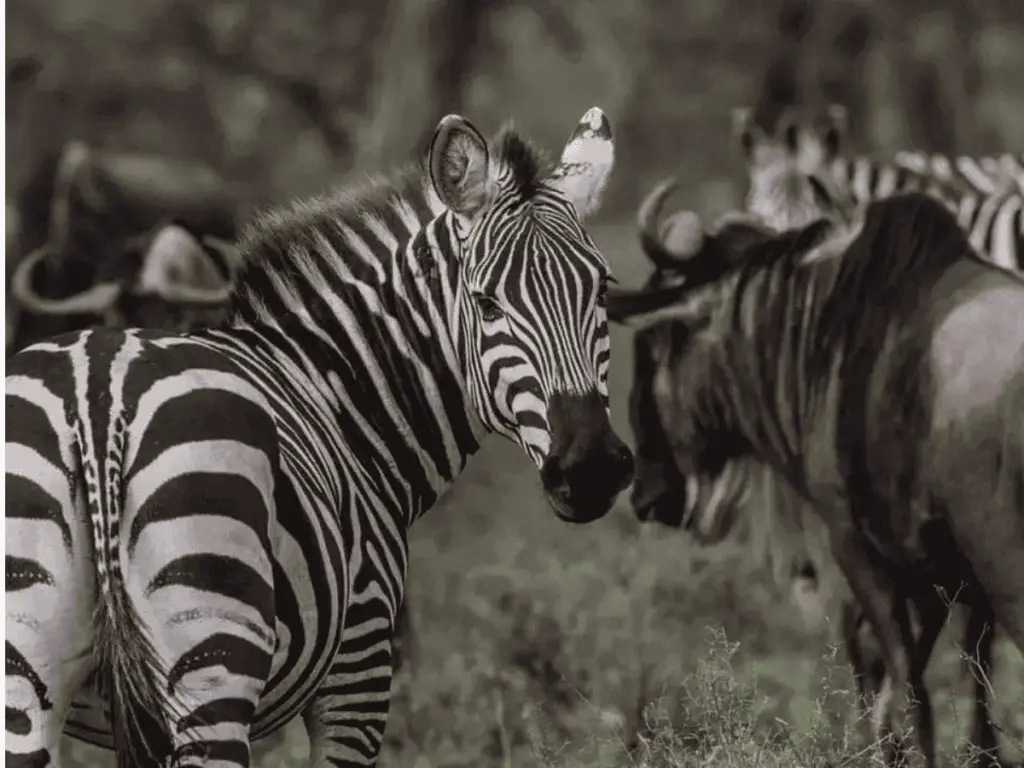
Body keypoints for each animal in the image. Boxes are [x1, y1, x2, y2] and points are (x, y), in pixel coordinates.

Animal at [5, 107, 635, 768]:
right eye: (487, 303)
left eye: (603, 290)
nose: (590, 468)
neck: (334, 388)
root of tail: (96, 397)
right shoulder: (361, 659)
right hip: (211, 661)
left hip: (30, 675)